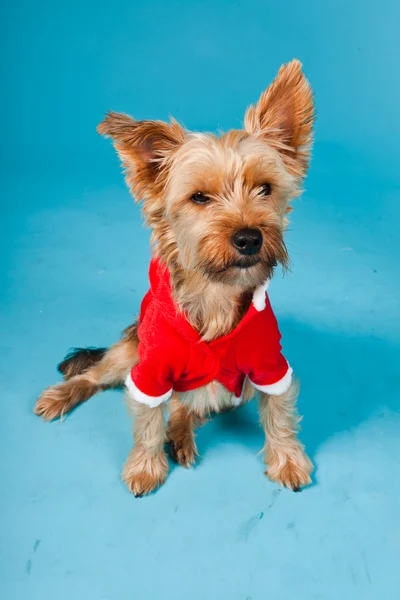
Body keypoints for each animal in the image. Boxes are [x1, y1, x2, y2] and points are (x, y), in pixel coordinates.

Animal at [34, 58, 314, 496]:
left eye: (265, 189)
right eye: (199, 197)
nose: (249, 237)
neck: (215, 291)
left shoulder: (269, 364)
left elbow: (279, 410)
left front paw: (287, 459)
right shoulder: (150, 371)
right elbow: (147, 418)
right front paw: (145, 466)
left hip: (225, 390)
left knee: (187, 404)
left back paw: (181, 433)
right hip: (130, 350)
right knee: (97, 375)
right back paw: (63, 394)